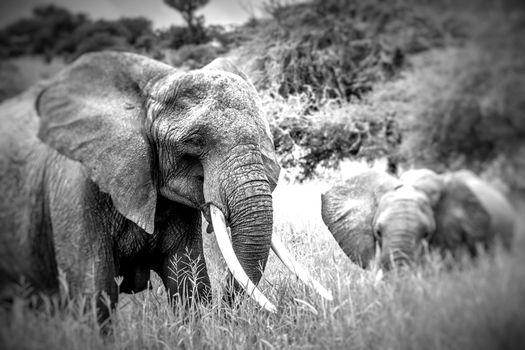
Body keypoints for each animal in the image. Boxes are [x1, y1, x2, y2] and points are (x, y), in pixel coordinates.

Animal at [0, 50, 328, 322]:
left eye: (264, 140)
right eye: (194, 141)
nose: (227, 314)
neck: (155, 83)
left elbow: (188, 283)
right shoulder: (75, 186)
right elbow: (94, 293)